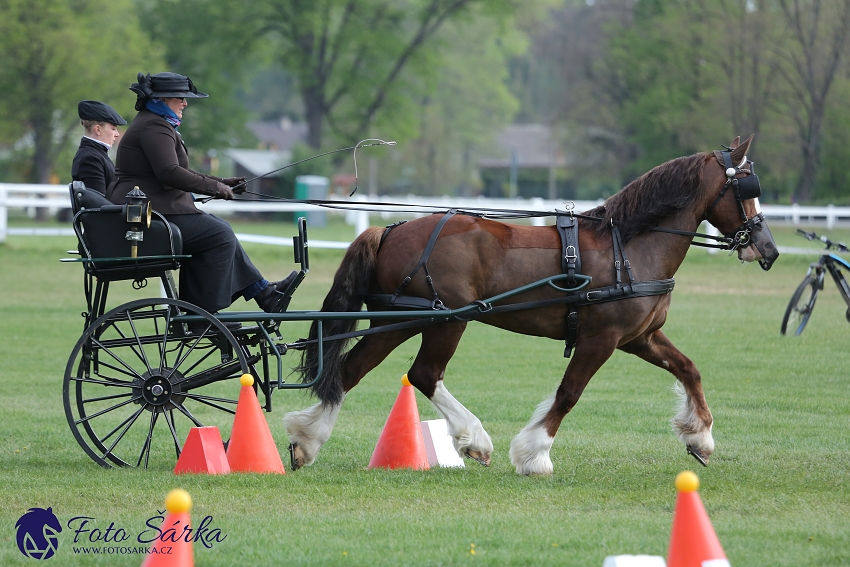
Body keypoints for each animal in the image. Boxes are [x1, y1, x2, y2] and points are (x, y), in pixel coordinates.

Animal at [284, 136, 776, 474]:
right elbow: (569, 393)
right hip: (445, 320)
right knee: (423, 374)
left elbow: (689, 369)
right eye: (745, 186)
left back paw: (308, 440)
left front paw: (701, 437)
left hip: (402, 319)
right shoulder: (601, 338)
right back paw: (474, 439)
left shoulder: (640, 338)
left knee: (351, 370)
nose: (768, 249)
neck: (630, 246)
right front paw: (534, 454)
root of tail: (389, 229)